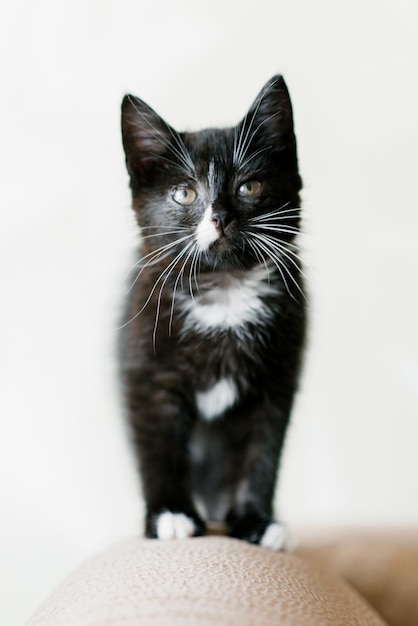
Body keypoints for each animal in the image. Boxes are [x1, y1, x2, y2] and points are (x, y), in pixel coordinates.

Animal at [119, 75, 306, 548]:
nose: (219, 216)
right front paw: (170, 515)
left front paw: (256, 521)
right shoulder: (147, 370)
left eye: (249, 187)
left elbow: (263, 450)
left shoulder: (277, 378)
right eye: (184, 192)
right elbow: (158, 444)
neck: (225, 289)